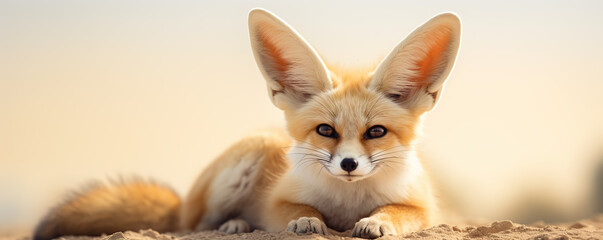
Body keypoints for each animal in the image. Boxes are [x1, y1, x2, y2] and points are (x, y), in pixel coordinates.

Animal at [34, 7, 462, 240]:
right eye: (326, 131)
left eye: (376, 133)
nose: (348, 164)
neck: (347, 202)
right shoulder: (276, 202)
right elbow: (298, 211)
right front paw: (308, 220)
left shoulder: (422, 205)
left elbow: (396, 213)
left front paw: (375, 222)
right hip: (246, 160)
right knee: (192, 224)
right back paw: (233, 224)